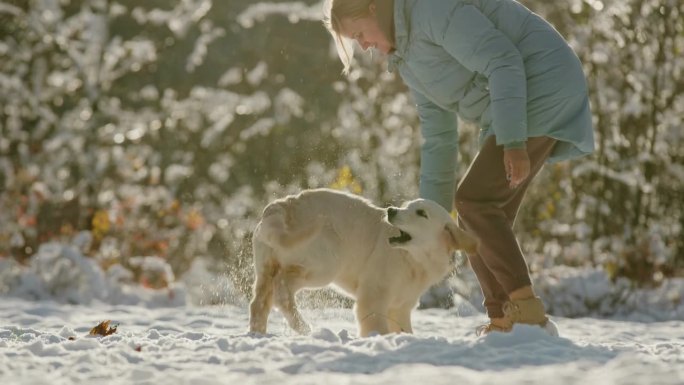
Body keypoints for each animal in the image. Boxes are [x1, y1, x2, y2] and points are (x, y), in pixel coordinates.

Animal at [248, 188, 478, 334]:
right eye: (406, 206)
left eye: (421, 213)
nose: (391, 210)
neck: (413, 258)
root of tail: (282, 205)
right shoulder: (374, 296)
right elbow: (377, 325)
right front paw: (379, 340)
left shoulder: (401, 306)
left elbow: (404, 330)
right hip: (326, 262)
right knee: (282, 288)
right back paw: (302, 326)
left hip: (266, 270)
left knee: (259, 302)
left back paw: (258, 334)